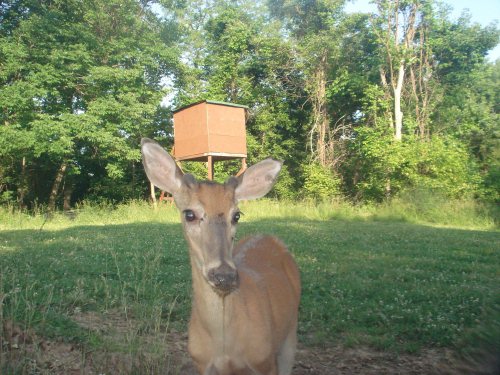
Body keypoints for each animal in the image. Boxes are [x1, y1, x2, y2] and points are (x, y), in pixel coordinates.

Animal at [141, 139, 300, 375]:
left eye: (236, 215)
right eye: (189, 214)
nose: (224, 276)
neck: (225, 347)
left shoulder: (265, 360)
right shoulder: (202, 363)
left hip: (290, 333)